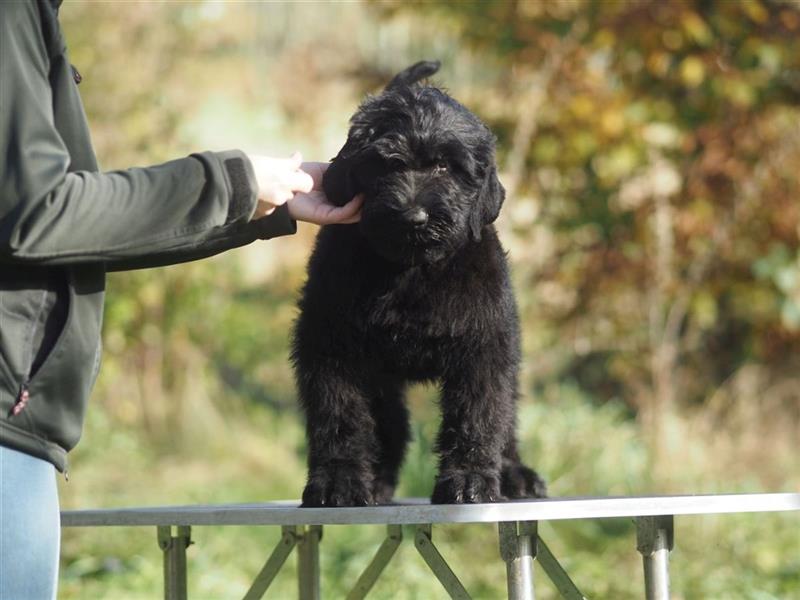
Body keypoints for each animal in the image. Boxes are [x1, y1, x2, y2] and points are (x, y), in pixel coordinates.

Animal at [294, 61, 552, 506]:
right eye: (385, 164)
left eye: (445, 167)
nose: (414, 217)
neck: (410, 270)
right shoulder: (331, 346)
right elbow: (339, 415)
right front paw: (338, 482)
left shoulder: (483, 346)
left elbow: (479, 414)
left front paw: (469, 481)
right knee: (389, 424)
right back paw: (376, 481)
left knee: (505, 418)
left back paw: (514, 473)